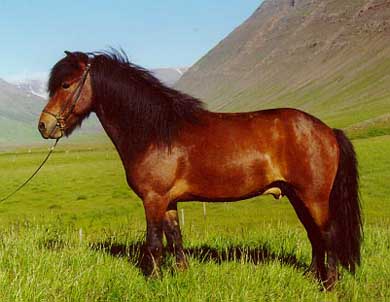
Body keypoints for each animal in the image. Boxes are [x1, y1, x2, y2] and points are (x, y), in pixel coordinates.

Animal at [38, 50, 362, 290]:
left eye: (66, 85)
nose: (44, 126)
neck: (155, 132)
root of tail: (327, 131)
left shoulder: (153, 199)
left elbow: (154, 244)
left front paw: (154, 282)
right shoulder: (168, 201)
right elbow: (175, 239)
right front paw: (181, 275)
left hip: (313, 197)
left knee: (328, 234)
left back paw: (330, 285)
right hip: (296, 196)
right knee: (315, 236)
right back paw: (312, 277)